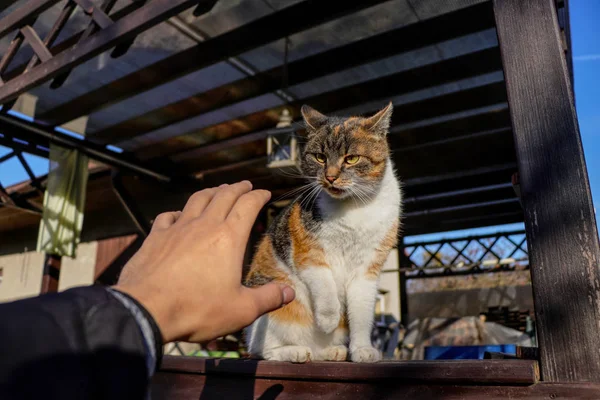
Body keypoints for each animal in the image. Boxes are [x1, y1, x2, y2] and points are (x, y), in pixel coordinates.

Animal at [244, 102, 404, 362]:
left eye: (351, 158)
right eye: (320, 157)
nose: (330, 176)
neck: (355, 206)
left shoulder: (368, 268)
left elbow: (362, 314)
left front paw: (362, 349)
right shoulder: (308, 251)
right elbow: (325, 284)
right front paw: (328, 319)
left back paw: (333, 351)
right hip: (271, 305)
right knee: (263, 351)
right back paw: (297, 351)